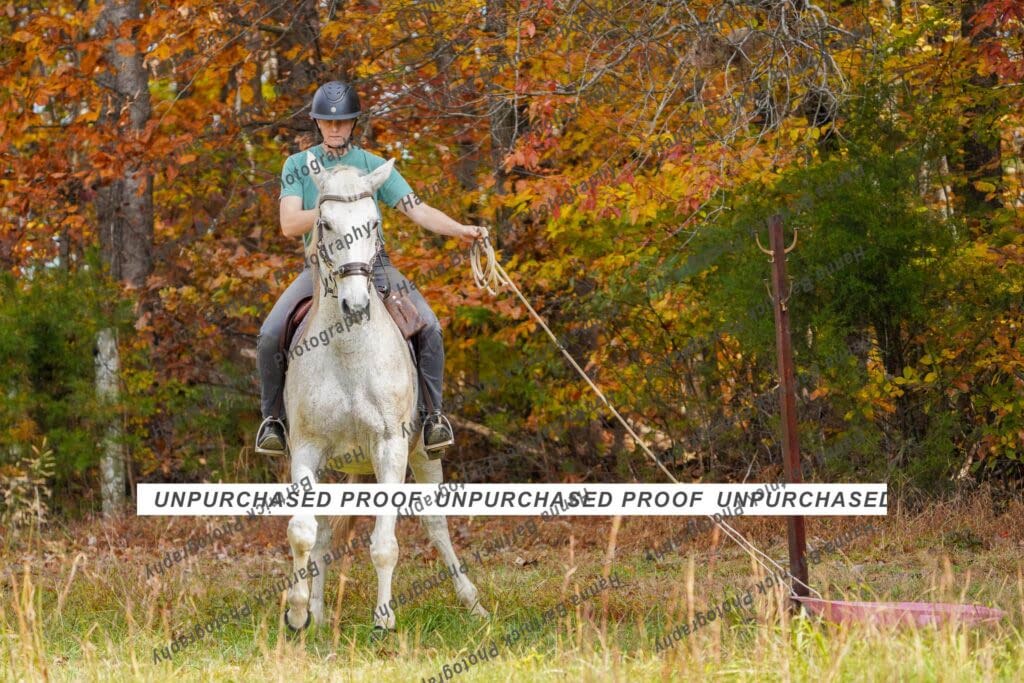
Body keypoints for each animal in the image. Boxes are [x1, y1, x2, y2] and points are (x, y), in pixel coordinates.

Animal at [280, 154, 487, 633]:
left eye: (373, 222)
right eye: (325, 223)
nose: (356, 306)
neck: (347, 352)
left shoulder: (390, 447)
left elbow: (385, 542)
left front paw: (383, 619)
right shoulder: (307, 448)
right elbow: (303, 531)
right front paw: (298, 612)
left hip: (422, 455)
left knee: (436, 524)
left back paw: (472, 603)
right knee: (325, 532)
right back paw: (318, 614)